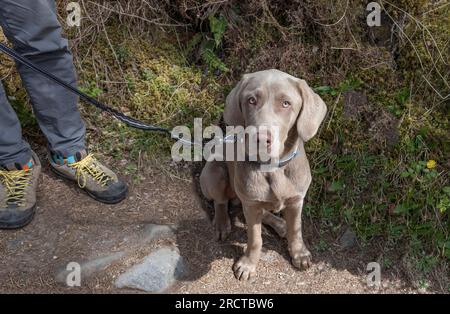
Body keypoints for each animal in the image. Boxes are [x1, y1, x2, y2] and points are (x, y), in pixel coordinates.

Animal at [200, 68, 326, 280]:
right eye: (251, 100)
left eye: (286, 103)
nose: (260, 138)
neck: (273, 168)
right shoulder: (251, 205)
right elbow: (255, 239)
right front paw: (248, 265)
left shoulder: (296, 200)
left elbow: (296, 229)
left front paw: (299, 253)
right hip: (215, 173)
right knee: (221, 202)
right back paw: (222, 223)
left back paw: (280, 224)